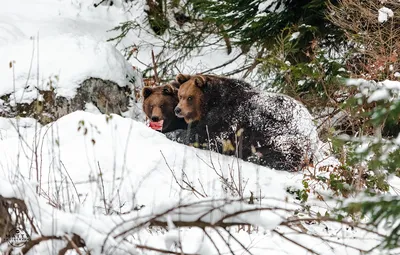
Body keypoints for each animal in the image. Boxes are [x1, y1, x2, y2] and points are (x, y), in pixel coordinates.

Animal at [173, 72, 320, 170]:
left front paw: (175, 133)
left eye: (190, 97)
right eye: (180, 95)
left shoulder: (228, 117)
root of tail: (313, 131)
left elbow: (207, 136)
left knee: (283, 154)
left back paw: (255, 158)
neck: (211, 102)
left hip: (284, 137)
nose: (177, 110)